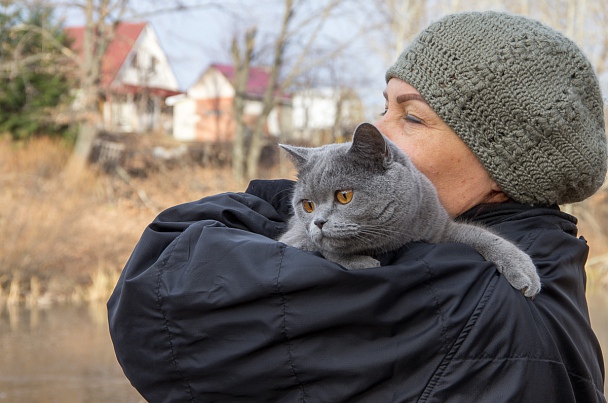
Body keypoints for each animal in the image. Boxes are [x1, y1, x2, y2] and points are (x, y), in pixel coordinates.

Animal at [278, 124, 540, 298]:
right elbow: (321, 248)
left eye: (344, 196)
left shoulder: (439, 229)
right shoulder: (295, 236)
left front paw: (523, 269)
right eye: (308, 205)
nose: (318, 222)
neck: (394, 239)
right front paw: (362, 263)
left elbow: (484, 236)